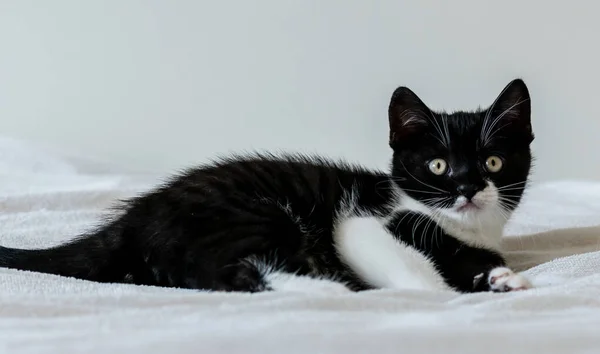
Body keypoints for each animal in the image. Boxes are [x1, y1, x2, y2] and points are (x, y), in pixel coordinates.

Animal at [0, 79, 536, 294]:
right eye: (438, 166)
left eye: (492, 161)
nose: (468, 188)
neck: (463, 230)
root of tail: (131, 221)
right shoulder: (360, 224)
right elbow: (410, 268)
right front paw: (437, 294)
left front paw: (499, 279)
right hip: (245, 216)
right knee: (228, 274)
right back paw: (334, 290)